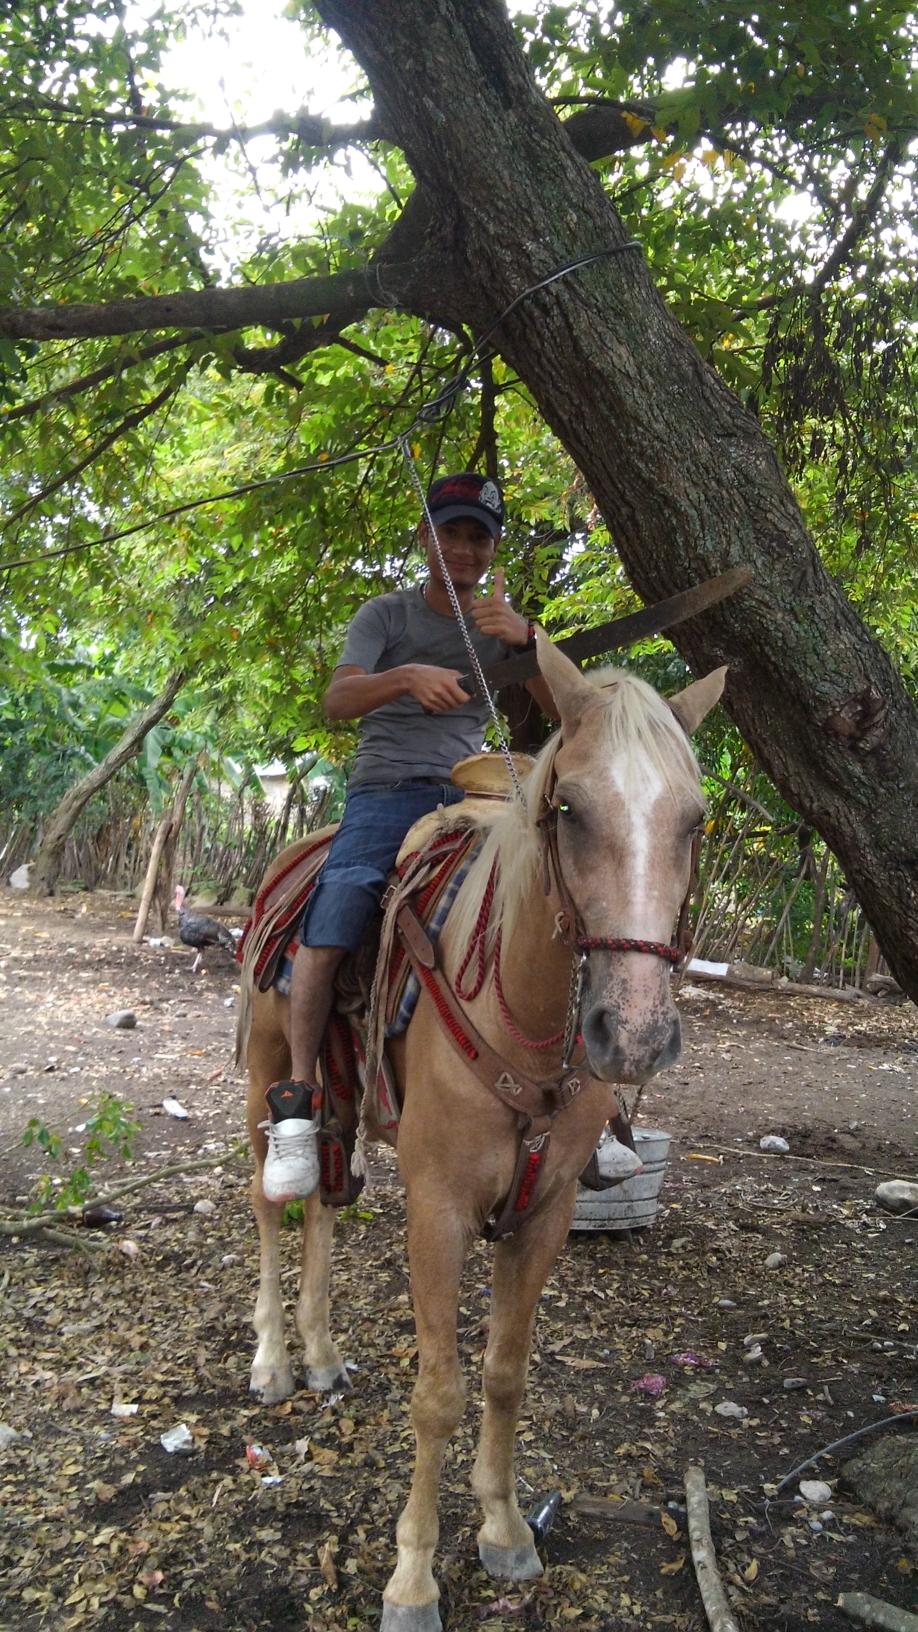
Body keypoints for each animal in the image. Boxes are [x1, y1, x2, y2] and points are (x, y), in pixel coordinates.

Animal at [241, 633, 721, 1632]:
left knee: (323, 1207)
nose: (635, 1034)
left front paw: (503, 1530)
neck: (526, 1014)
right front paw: (413, 1579)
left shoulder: (542, 1215)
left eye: (694, 821)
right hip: (267, 1075)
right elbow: (438, 1394)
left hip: (344, 1099)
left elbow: (504, 1372)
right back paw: (272, 1360)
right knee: (272, 1208)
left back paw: (322, 1354)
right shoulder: (439, 1212)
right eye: (569, 808)